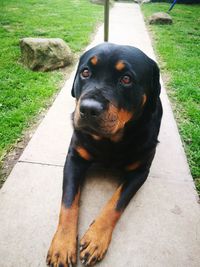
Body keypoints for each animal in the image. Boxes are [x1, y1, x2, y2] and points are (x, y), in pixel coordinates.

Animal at [47, 43, 162, 266]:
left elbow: (116, 203)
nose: (88, 109)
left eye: (126, 79)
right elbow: (68, 203)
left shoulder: (140, 172)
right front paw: (62, 245)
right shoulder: (74, 159)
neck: (110, 142)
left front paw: (95, 239)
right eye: (85, 72)